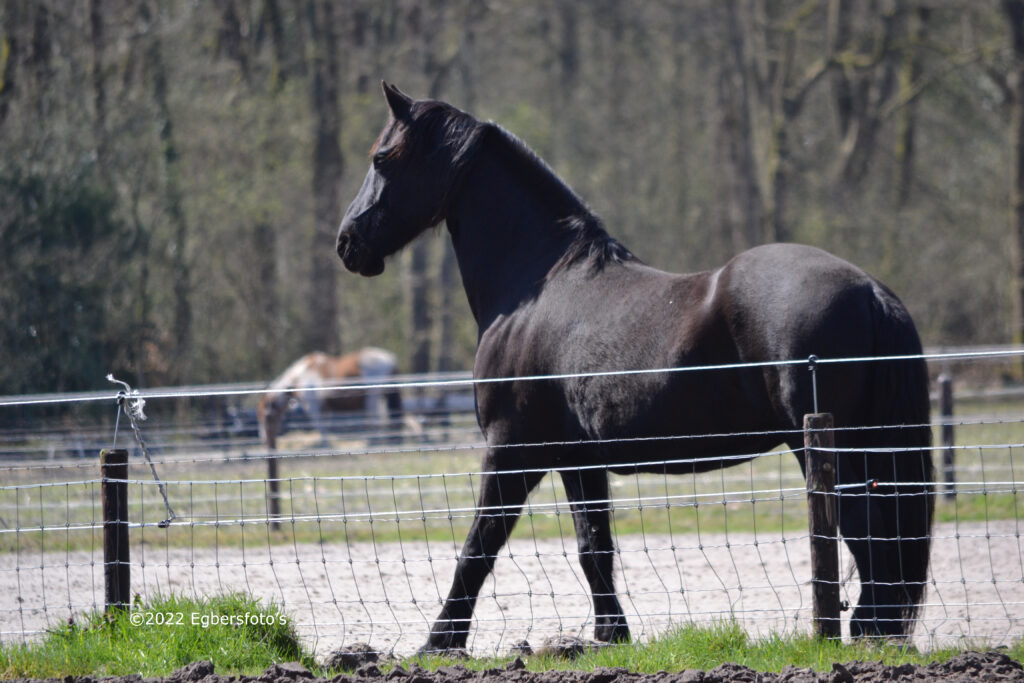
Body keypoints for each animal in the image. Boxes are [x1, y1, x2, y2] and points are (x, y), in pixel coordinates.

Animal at [257, 347, 403, 450]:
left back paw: (373, 442)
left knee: (375, 420)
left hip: (372, 399)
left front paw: (325, 445)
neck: (300, 376)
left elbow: (321, 427)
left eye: (264, 417)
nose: (264, 440)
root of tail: (391, 359)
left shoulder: (314, 408)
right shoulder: (325, 410)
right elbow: (325, 427)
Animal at [336, 83, 934, 651]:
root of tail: (870, 289)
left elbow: (478, 549)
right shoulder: (577, 460)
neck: (537, 286)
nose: (347, 242)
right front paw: (610, 634)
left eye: (382, 158)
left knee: (866, 531)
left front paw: (439, 641)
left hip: (830, 448)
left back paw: (870, 630)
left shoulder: (512, 452)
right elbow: (592, 548)